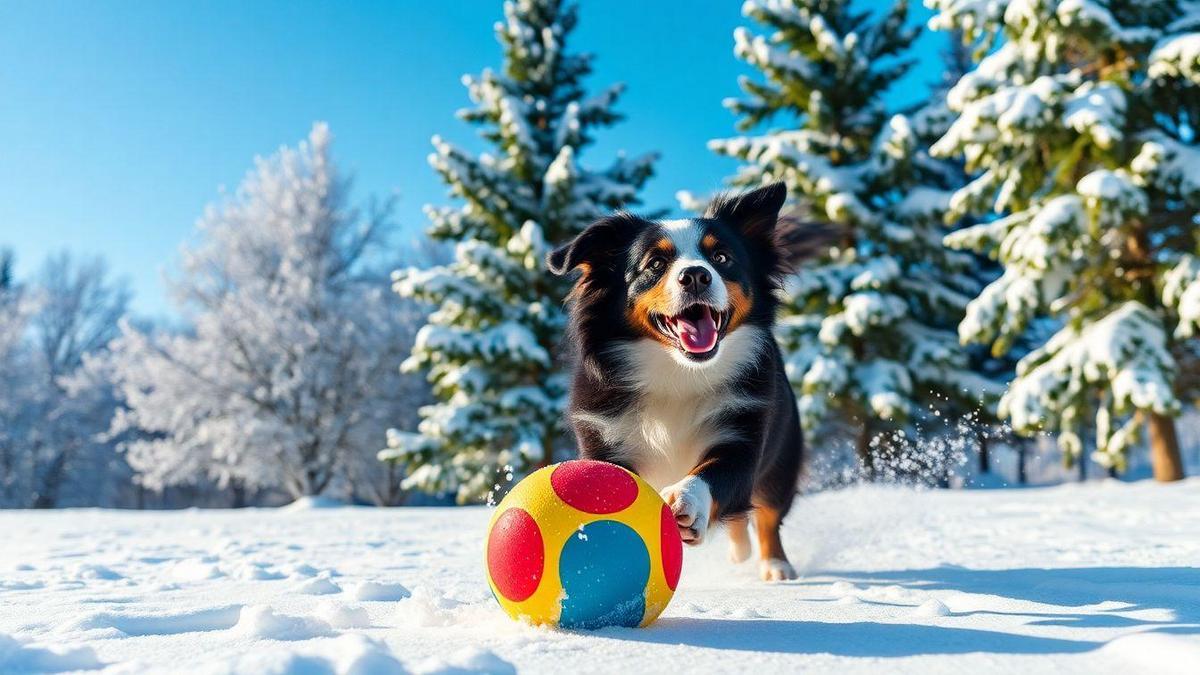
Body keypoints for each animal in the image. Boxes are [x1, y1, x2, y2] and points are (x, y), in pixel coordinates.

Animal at [549, 182, 811, 578]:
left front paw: (685, 501)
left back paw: (774, 565)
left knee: (766, 510)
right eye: (655, 264)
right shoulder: (604, 434)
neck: (679, 373)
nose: (696, 275)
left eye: (721, 257)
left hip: (783, 452)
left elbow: (717, 472)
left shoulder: (745, 430)